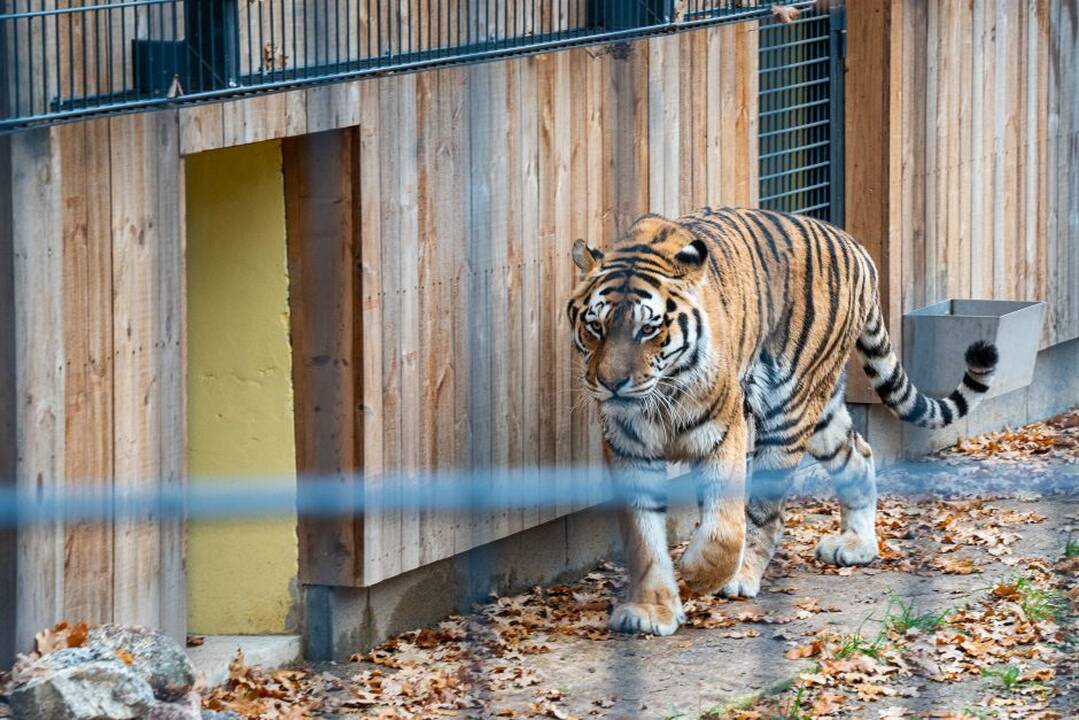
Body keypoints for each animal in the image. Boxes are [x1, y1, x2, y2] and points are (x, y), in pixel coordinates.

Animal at [569, 208, 996, 634]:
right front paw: (650, 610)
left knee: (767, 513)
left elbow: (725, 528)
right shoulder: (629, 448)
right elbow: (644, 538)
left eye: (648, 329)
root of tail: (855, 246)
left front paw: (698, 573)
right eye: (595, 327)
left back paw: (742, 576)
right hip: (821, 413)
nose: (611, 384)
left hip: (789, 408)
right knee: (857, 453)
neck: (662, 396)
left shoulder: (725, 432)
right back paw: (856, 544)